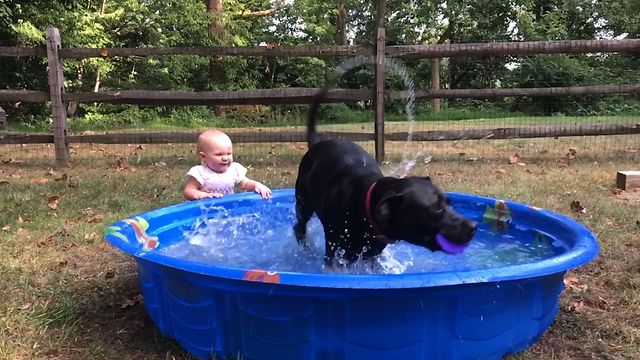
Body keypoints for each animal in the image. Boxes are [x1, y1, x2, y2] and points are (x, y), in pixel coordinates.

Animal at [294, 90, 476, 264]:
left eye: (449, 203)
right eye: (437, 208)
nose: (473, 226)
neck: (363, 200)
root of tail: (316, 143)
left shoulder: (372, 252)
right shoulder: (335, 249)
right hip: (303, 204)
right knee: (299, 228)